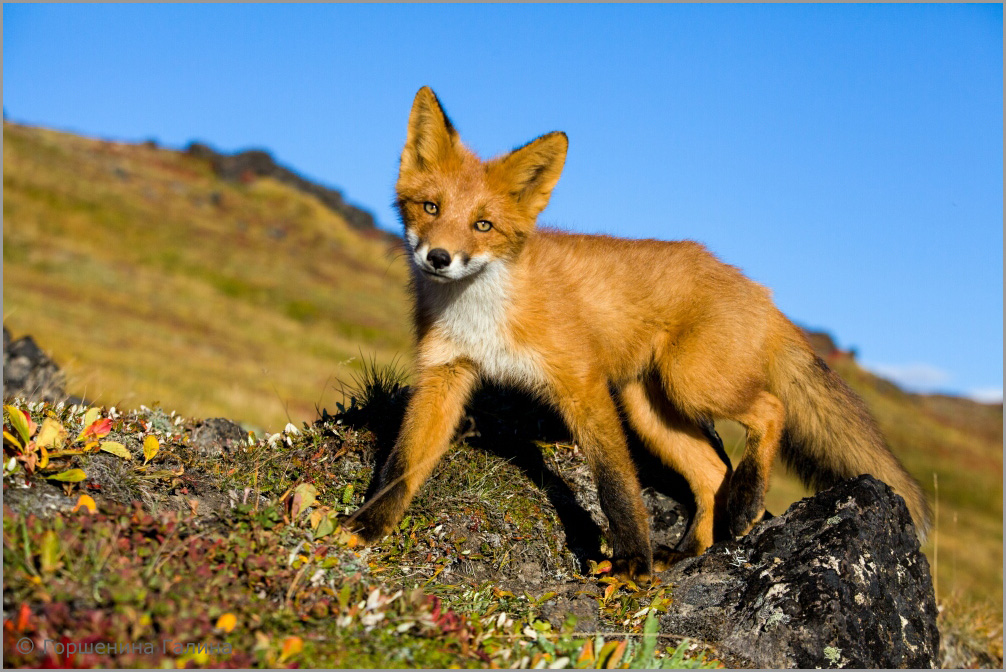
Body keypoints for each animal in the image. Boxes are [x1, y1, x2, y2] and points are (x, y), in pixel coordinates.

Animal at [344, 86, 925, 579]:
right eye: (431, 208)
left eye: (482, 225)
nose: (439, 258)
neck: (484, 310)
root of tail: (759, 289)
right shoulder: (445, 373)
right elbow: (402, 464)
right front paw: (365, 528)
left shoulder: (582, 384)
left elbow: (616, 484)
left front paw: (630, 564)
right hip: (651, 408)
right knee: (710, 474)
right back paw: (689, 553)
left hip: (689, 383)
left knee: (770, 411)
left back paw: (744, 507)